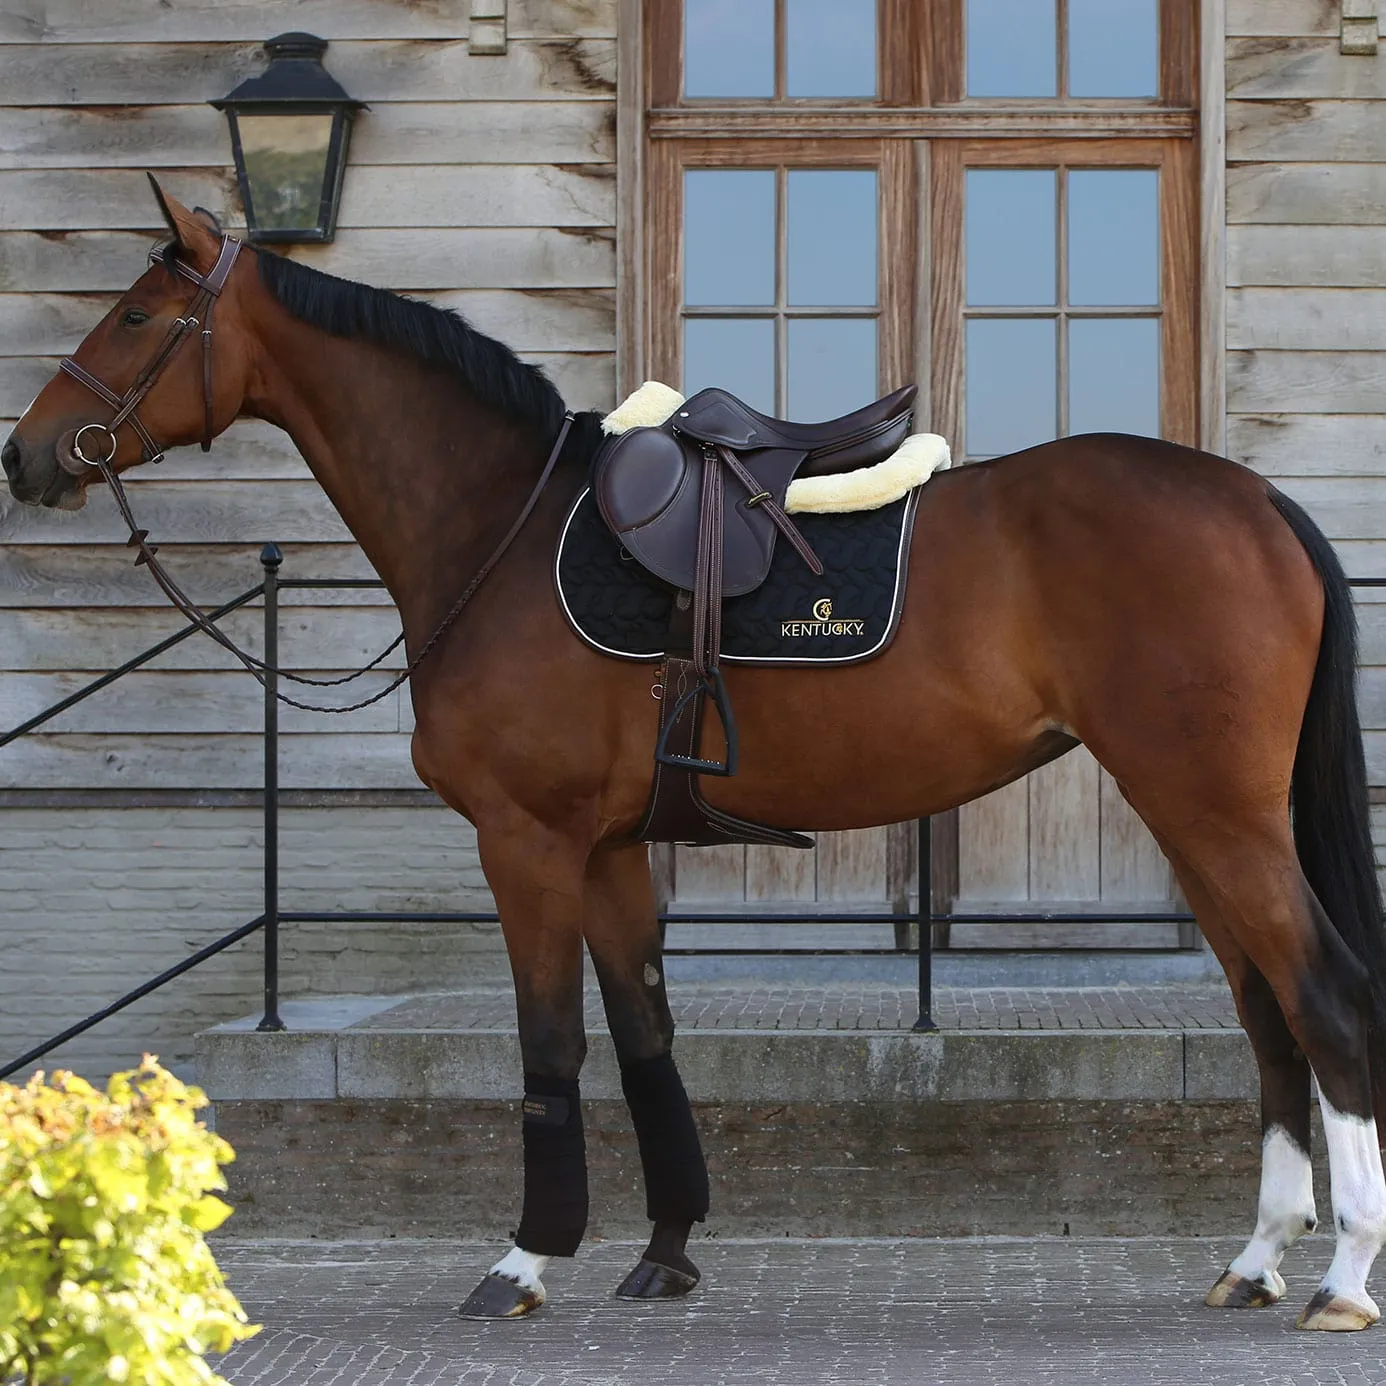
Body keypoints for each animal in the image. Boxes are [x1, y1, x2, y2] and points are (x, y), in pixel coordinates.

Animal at [2, 178, 1386, 1325]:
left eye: (135, 316)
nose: (27, 455)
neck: (498, 531)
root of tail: (1255, 498)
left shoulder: (528, 843)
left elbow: (551, 1047)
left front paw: (525, 1257)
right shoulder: (616, 852)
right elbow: (646, 1043)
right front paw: (665, 1251)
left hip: (1213, 812)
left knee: (1324, 1000)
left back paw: (1343, 1278)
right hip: (1190, 819)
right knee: (1267, 1017)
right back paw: (1257, 1260)